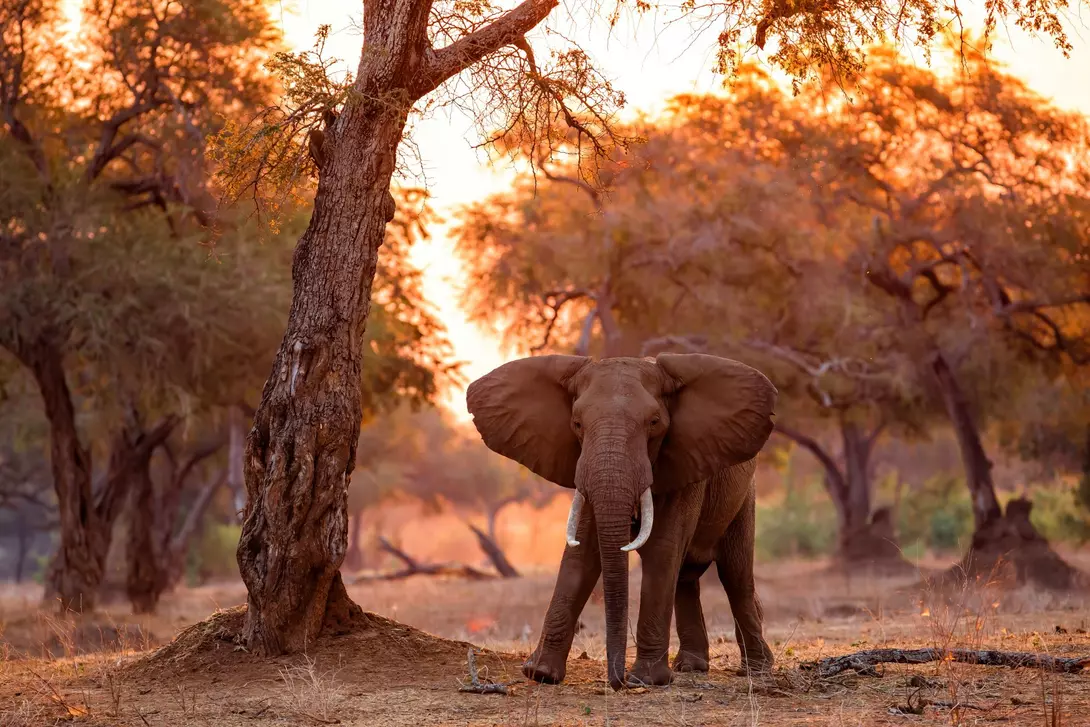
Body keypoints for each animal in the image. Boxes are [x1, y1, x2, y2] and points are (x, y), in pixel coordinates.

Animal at [465, 353, 778, 690]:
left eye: (654, 423)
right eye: (577, 424)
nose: (618, 682)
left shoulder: (685, 463)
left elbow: (662, 550)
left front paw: (647, 680)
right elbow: (582, 553)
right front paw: (541, 674)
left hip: (744, 496)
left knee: (735, 575)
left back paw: (756, 669)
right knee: (686, 579)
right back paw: (691, 667)